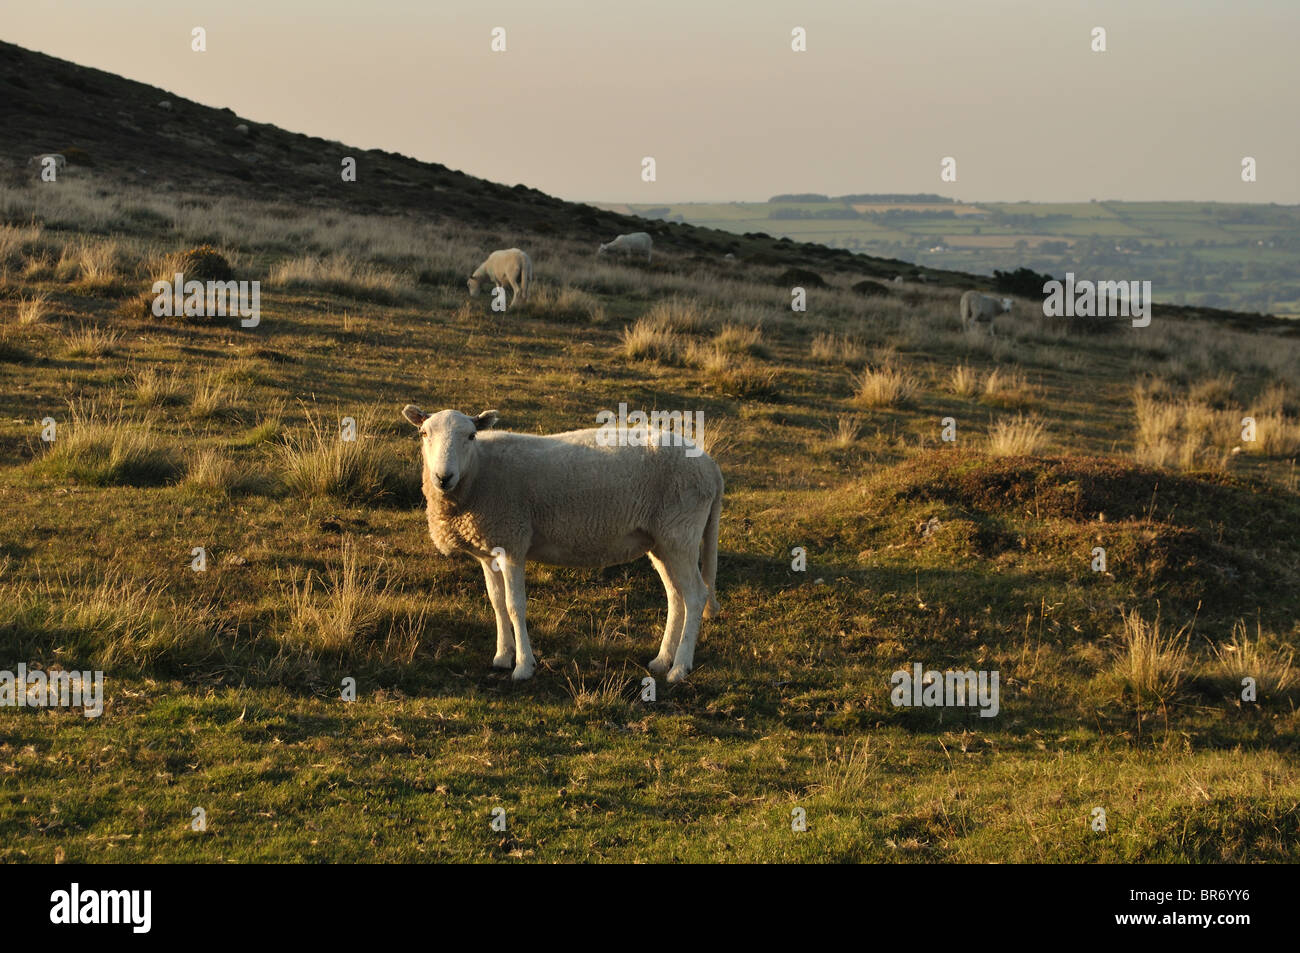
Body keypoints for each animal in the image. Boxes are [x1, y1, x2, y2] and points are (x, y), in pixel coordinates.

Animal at [401, 406, 723, 684]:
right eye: (424, 434)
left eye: (470, 436)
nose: (443, 477)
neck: (478, 472)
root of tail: (711, 466)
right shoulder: (489, 548)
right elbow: (496, 602)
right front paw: (502, 656)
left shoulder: (513, 541)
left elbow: (514, 605)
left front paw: (523, 666)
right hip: (661, 539)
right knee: (676, 596)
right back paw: (662, 659)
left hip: (680, 530)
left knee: (696, 595)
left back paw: (679, 667)